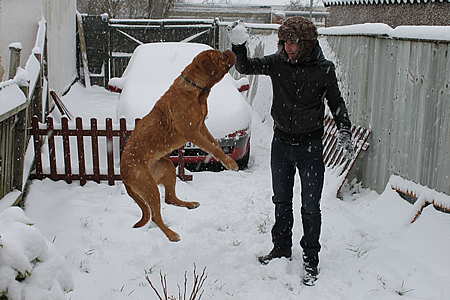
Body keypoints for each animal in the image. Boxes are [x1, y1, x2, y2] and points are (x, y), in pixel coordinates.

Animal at [121, 48, 237, 241]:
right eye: (220, 55)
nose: (230, 50)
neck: (197, 91)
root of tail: (123, 176)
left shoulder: (202, 127)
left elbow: (215, 144)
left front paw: (226, 159)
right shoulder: (192, 132)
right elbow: (213, 147)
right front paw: (230, 163)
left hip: (166, 167)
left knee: (170, 199)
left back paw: (189, 204)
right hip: (149, 186)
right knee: (156, 216)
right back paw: (171, 234)